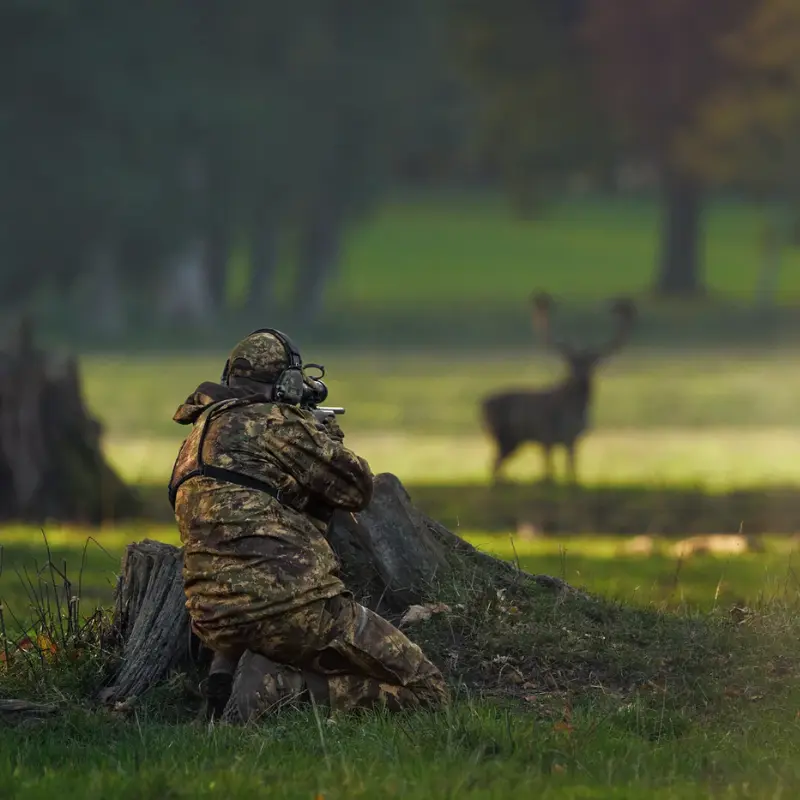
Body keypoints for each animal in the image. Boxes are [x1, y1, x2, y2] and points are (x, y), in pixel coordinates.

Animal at [481, 292, 636, 484]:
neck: (572, 413)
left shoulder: (574, 438)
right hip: (503, 436)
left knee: (496, 464)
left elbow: (571, 471)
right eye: (570, 364)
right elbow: (550, 473)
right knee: (494, 464)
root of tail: (481, 404)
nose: (581, 379)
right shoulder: (546, 436)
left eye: (592, 364)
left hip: (512, 440)